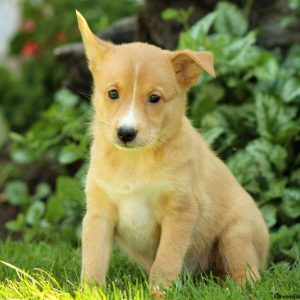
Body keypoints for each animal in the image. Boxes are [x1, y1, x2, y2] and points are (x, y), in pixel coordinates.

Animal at [76, 11, 268, 288]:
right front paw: (90, 290)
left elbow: (166, 259)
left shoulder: (181, 210)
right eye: (112, 93)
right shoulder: (98, 214)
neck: (134, 161)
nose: (126, 133)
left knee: (248, 274)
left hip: (237, 234)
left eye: (154, 98)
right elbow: (93, 261)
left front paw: (159, 290)